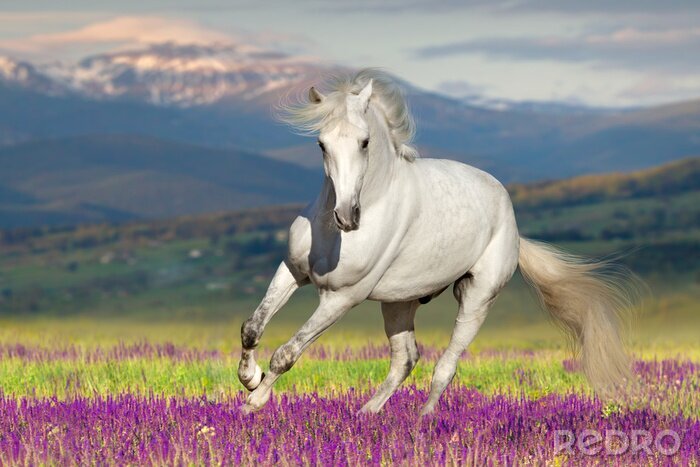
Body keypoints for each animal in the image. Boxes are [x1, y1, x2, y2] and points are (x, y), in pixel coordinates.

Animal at [238, 69, 632, 415]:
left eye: (365, 142)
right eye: (321, 143)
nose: (347, 216)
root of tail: (511, 218)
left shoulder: (342, 298)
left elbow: (287, 352)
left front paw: (253, 402)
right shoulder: (292, 271)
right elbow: (252, 328)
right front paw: (250, 378)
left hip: (476, 298)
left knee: (446, 365)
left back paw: (423, 421)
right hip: (399, 302)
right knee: (406, 358)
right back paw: (366, 413)